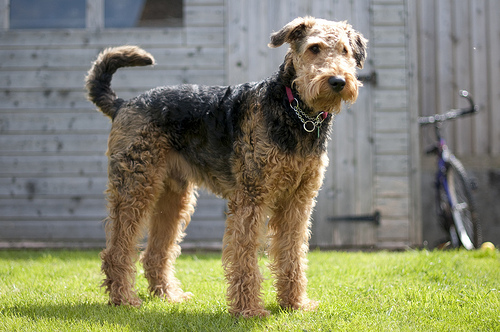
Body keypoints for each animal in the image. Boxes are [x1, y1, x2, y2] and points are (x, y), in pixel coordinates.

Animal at [86, 16, 366, 318]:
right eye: (314, 48)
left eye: (345, 50)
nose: (338, 81)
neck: (297, 113)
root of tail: (123, 104)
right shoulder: (251, 198)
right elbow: (245, 256)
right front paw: (249, 310)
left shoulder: (298, 201)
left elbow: (292, 253)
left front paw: (295, 303)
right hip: (135, 187)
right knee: (117, 250)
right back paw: (124, 299)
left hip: (172, 195)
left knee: (154, 252)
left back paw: (169, 295)